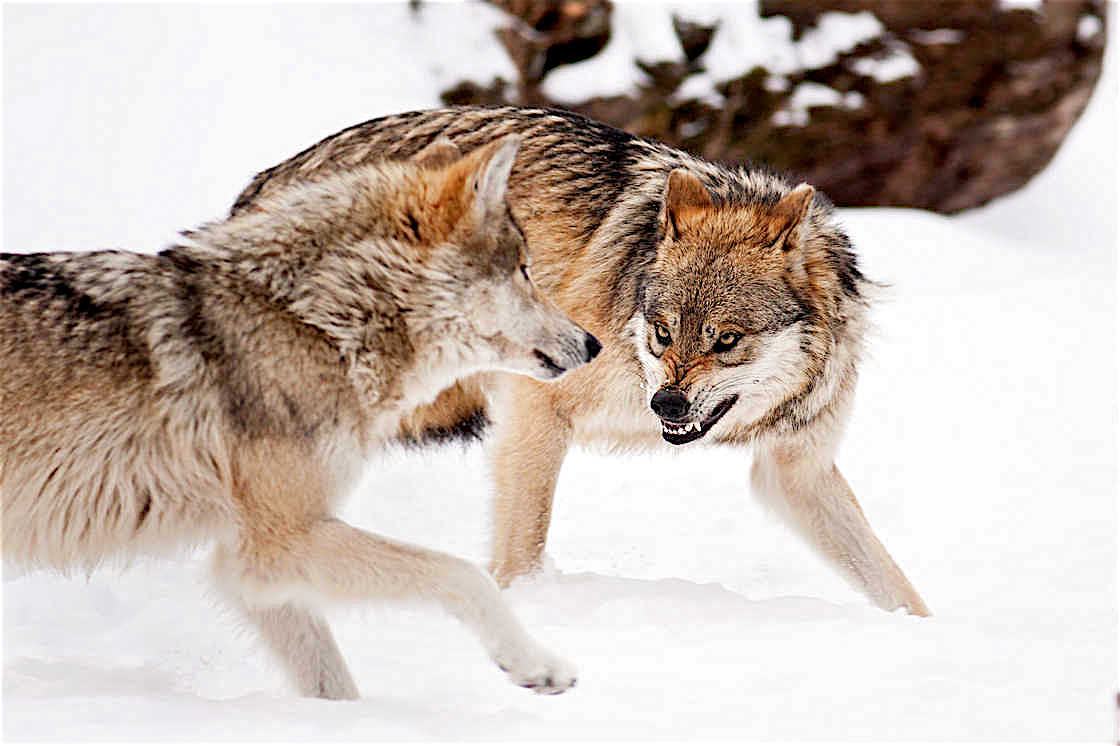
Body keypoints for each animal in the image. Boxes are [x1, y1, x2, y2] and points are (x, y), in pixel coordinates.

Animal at [2, 133, 604, 698]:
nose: (594, 344)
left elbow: (332, 683)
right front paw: (534, 664)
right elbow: (465, 573)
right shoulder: (279, 542)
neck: (313, 319)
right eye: (525, 271)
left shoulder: (251, 569)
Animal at [225, 104, 927, 613]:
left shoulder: (796, 470)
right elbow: (522, 547)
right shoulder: (536, 408)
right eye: (664, 332)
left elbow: (893, 580)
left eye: (726, 340)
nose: (666, 403)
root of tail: (262, 183)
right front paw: (527, 608)